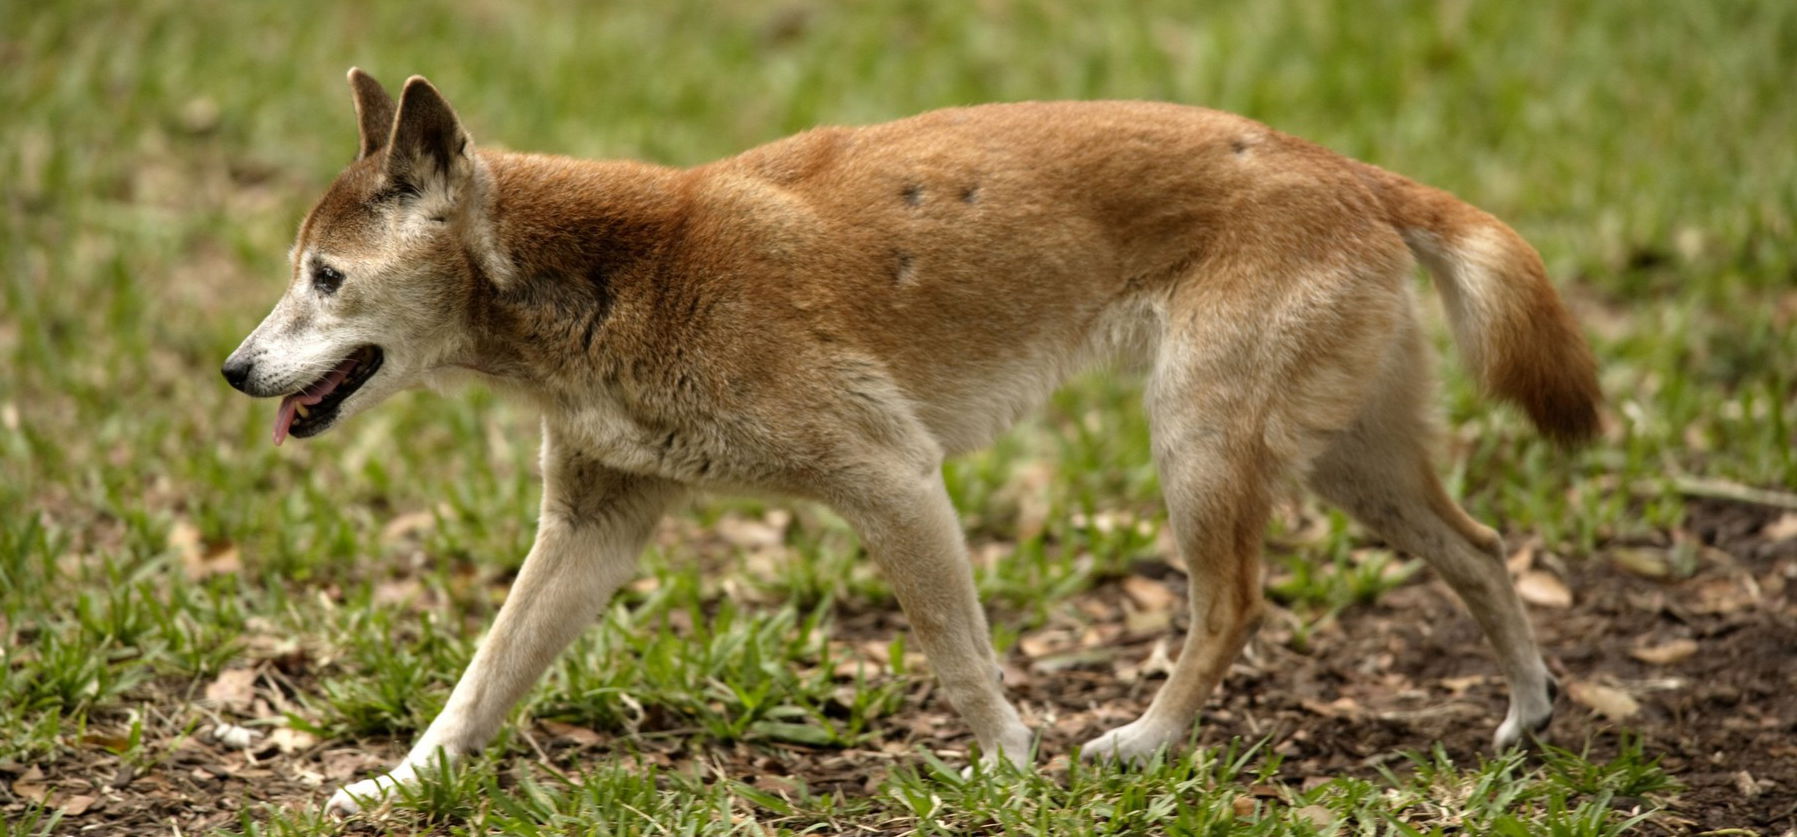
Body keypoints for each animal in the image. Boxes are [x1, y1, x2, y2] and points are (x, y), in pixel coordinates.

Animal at [224, 68, 1602, 815]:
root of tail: (1355, 171)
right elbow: (481, 683)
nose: (235, 371)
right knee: (1482, 548)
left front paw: (1009, 770)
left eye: (326, 279)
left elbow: (956, 654)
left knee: (1235, 603)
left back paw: (1149, 740)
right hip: (1349, 458)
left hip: (1204, 441)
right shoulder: (593, 525)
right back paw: (1531, 709)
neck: (607, 280)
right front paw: (401, 787)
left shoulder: (888, 476)